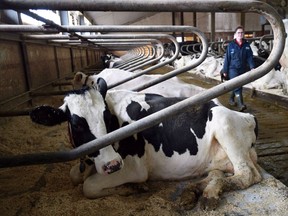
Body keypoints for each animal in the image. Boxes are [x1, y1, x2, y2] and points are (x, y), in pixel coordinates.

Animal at [30, 78, 262, 211]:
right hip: (217, 159)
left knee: (247, 175)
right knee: (217, 173)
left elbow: (88, 186)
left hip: (225, 125)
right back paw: (196, 193)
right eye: (77, 124)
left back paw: (208, 197)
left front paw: (131, 188)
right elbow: (75, 176)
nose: (112, 164)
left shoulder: (134, 167)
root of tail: (248, 116)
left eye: (107, 118)